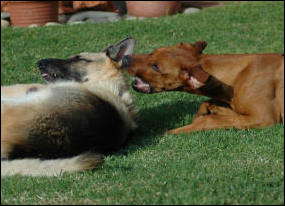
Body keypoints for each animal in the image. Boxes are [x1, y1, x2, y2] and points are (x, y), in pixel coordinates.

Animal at [123, 41, 282, 134]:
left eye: (156, 67)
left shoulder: (264, 117)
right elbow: (208, 104)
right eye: (152, 52)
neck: (237, 76)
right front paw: (208, 111)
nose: (125, 58)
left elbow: (209, 119)